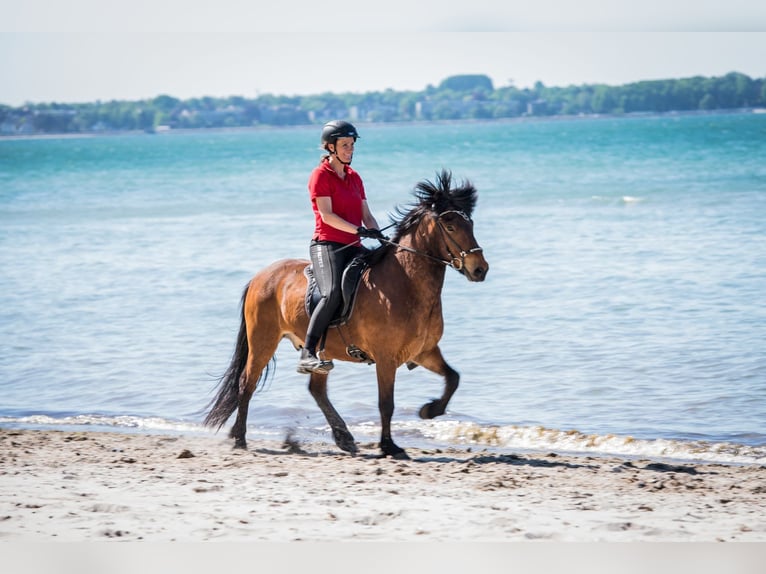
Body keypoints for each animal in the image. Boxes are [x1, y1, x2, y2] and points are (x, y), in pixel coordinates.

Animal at [206, 169, 492, 462]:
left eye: (470, 224)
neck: (405, 282)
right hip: (263, 341)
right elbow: (386, 403)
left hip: (321, 351)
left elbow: (453, 378)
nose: (480, 269)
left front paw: (429, 410)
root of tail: (259, 276)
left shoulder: (424, 351)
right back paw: (240, 438)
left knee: (316, 390)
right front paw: (389, 446)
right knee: (246, 383)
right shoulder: (386, 358)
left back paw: (344, 437)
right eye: (450, 226)